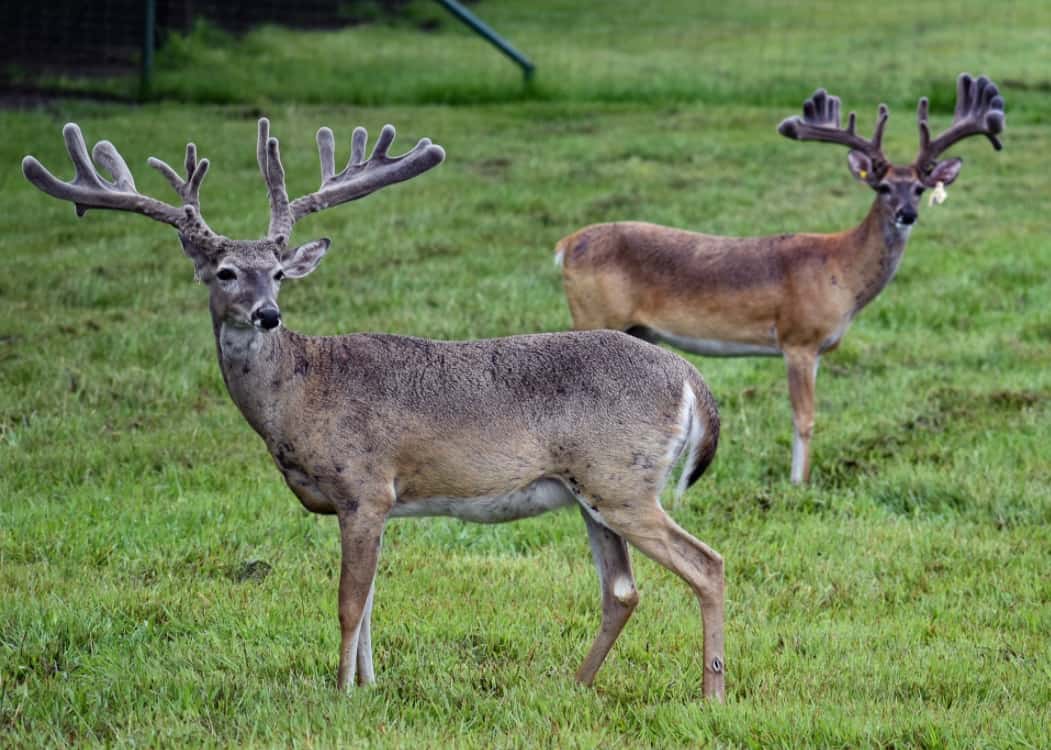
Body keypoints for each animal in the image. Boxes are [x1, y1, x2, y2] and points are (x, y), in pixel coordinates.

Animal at [23, 118, 728, 699]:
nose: (267, 314)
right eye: (225, 272)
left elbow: (346, 603)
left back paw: (710, 693)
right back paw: (572, 685)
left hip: (620, 480)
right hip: (592, 491)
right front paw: (368, 685)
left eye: (278, 273)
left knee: (707, 565)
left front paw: (340, 695)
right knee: (622, 590)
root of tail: (690, 377)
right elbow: (368, 607)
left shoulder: (363, 486)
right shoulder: (377, 502)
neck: (302, 393)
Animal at [556, 73, 1005, 484]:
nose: (907, 214)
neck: (841, 270)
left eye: (919, 188)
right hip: (594, 314)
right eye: (882, 187)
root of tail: (566, 244)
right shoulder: (798, 338)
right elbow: (804, 417)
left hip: (638, 330)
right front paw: (799, 484)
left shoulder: (818, 349)